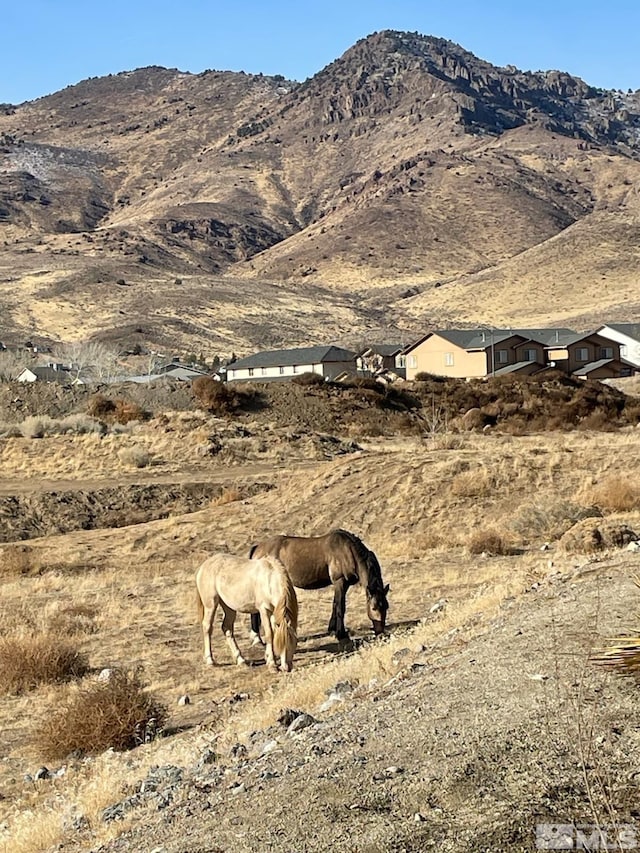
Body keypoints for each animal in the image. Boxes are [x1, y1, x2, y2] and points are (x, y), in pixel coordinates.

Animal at [250, 524, 390, 640]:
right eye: (374, 607)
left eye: (386, 606)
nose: (380, 632)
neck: (348, 551)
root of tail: (258, 548)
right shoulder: (339, 582)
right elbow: (340, 607)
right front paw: (341, 634)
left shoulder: (343, 585)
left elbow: (335, 604)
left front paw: (332, 629)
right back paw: (257, 638)